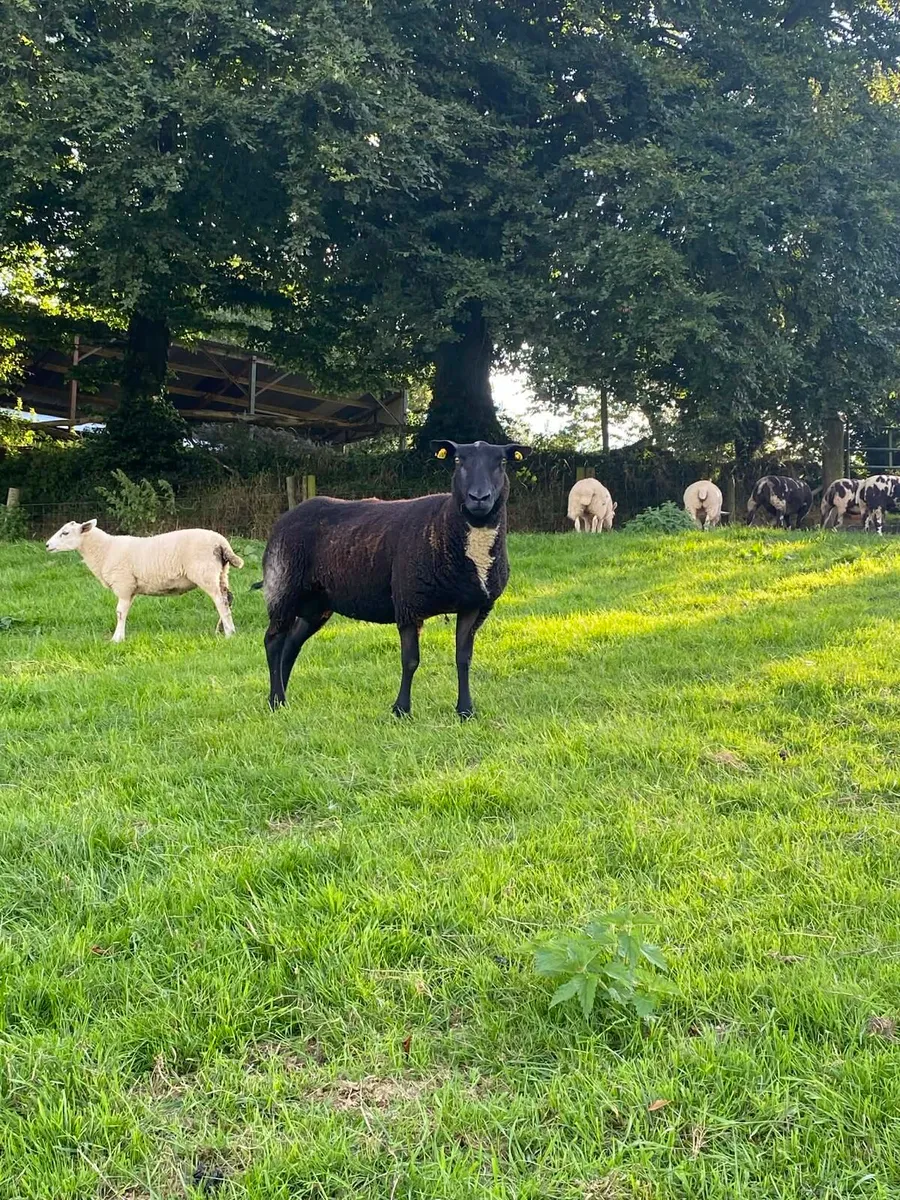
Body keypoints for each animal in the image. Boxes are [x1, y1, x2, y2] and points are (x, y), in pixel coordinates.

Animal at [45, 520, 244, 641]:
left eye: (65, 533)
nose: (47, 545)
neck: (104, 550)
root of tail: (221, 542)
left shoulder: (124, 585)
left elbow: (120, 613)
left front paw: (117, 639)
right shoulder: (130, 588)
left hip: (205, 573)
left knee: (220, 601)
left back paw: (230, 633)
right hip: (222, 573)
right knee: (228, 598)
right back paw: (221, 629)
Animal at [261, 438, 529, 718]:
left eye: (502, 462)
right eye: (458, 461)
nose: (479, 498)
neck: (447, 526)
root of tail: (286, 517)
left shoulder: (473, 605)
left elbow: (463, 659)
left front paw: (465, 710)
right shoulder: (408, 603)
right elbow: (410, 660)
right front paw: (401, 710)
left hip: (316, 603)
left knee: (291, 644)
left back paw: (282, 700)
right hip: (283, 587)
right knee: (273, 642)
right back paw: (275, 700)